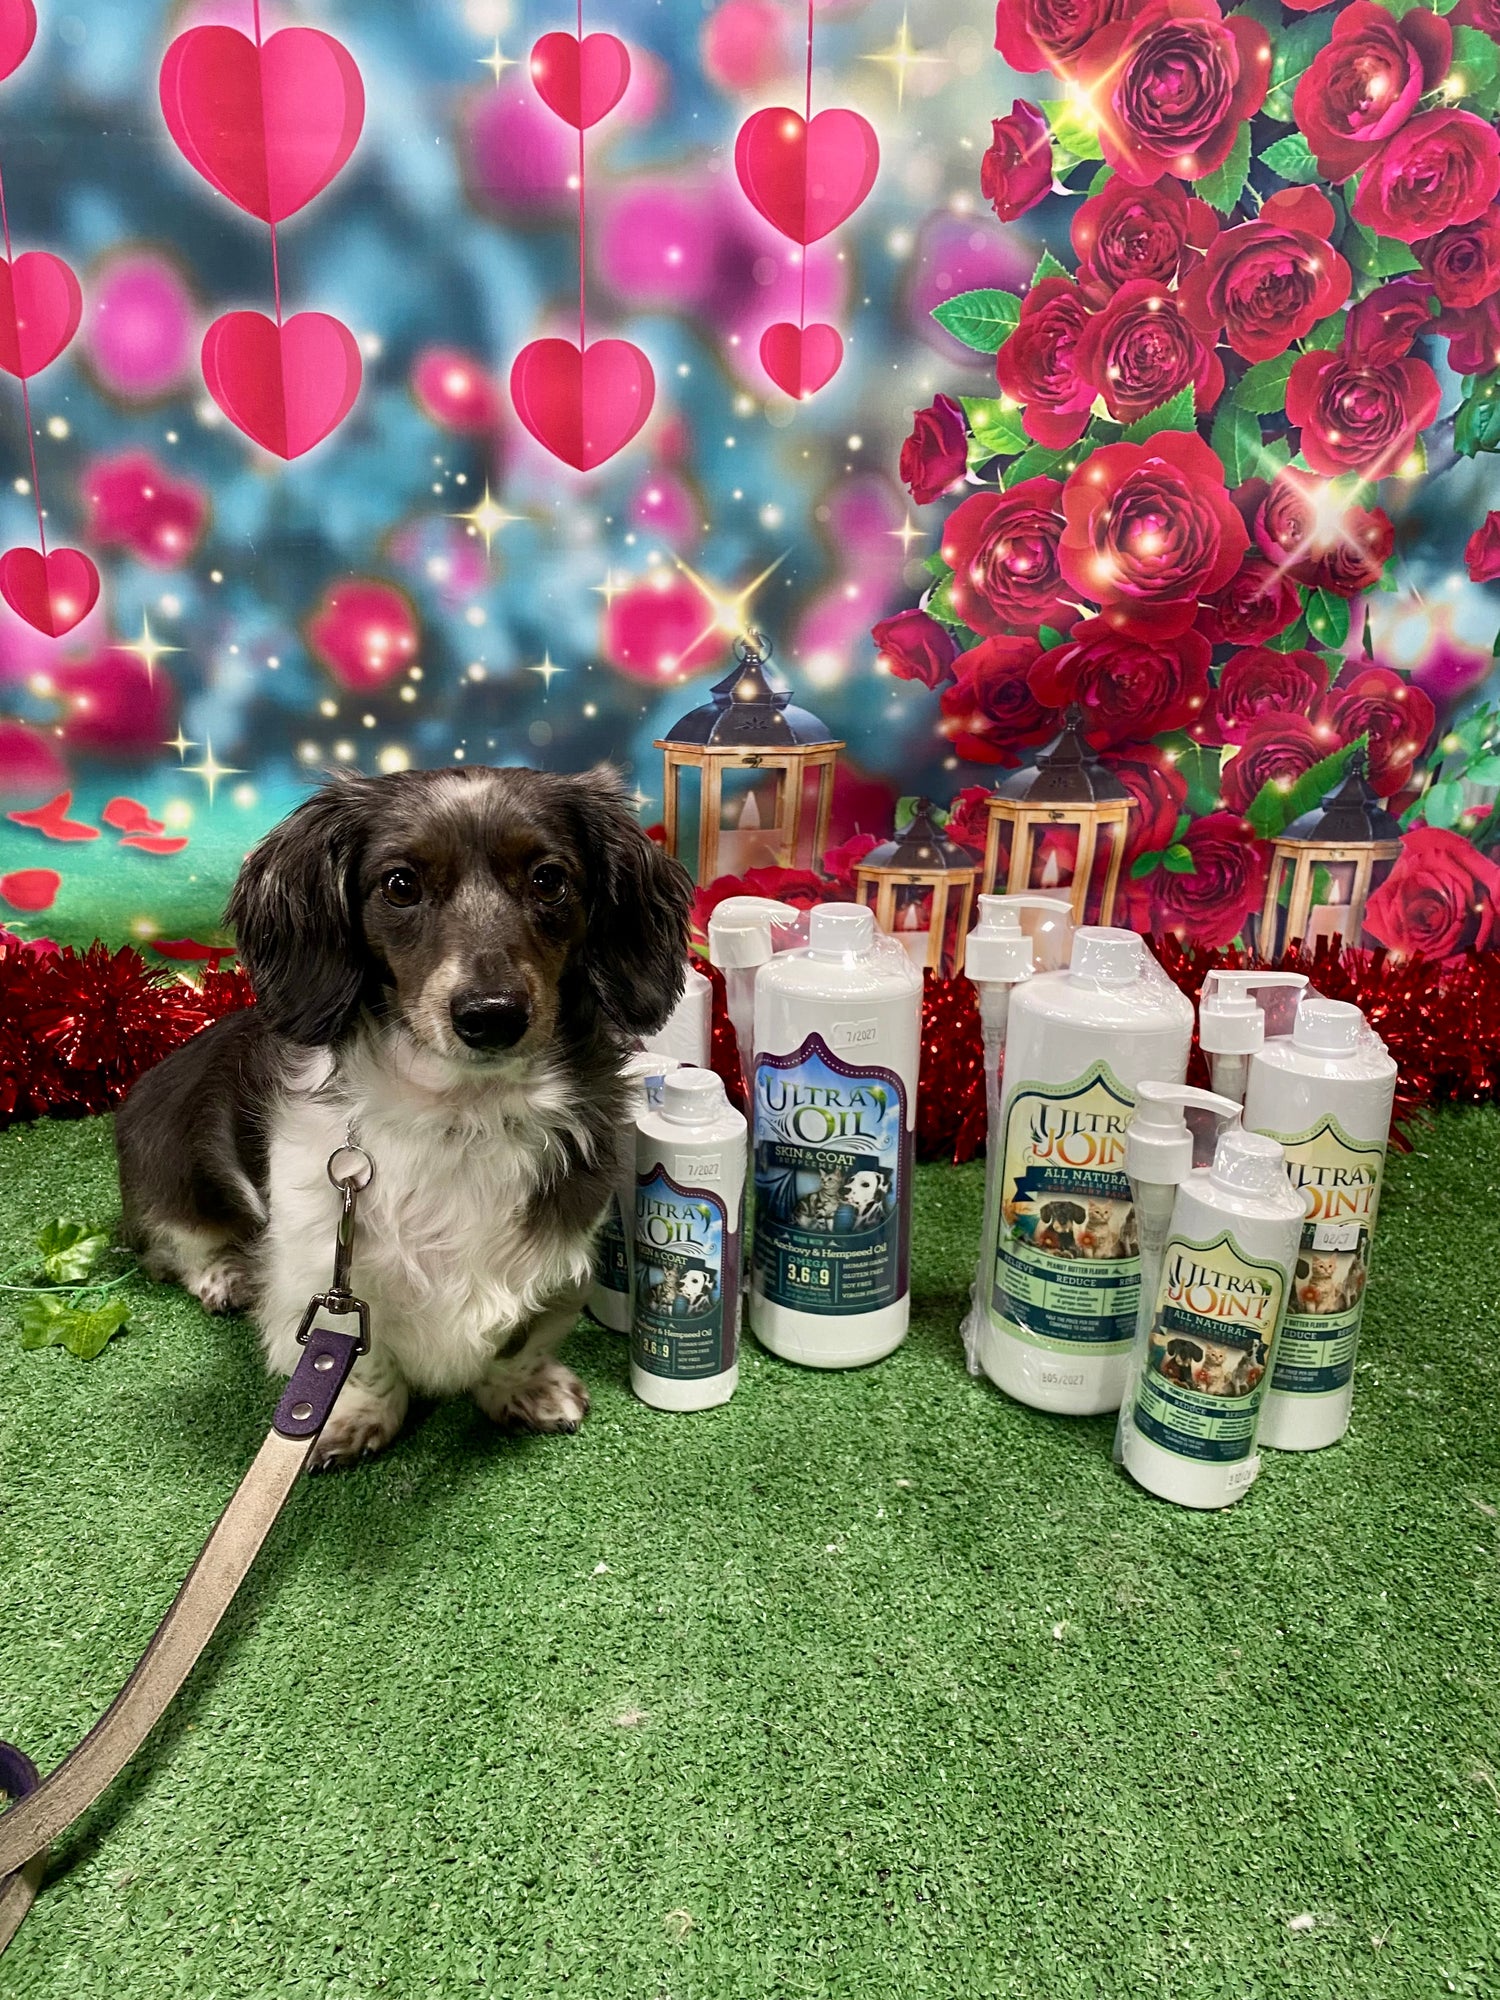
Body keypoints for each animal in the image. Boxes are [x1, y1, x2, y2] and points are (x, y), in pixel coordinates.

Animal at [115, 764, 693, 1468]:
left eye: (549, 879)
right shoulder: (324, 1267)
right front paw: (349, 1415)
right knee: (175, 1246)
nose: (492, 1015)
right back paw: (225, 1273)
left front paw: (522, 1388)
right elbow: (358, 1357)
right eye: (400, 884)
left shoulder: (556, 1254)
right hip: (172, 1176)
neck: (464, 1113)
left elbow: (521, 1340)